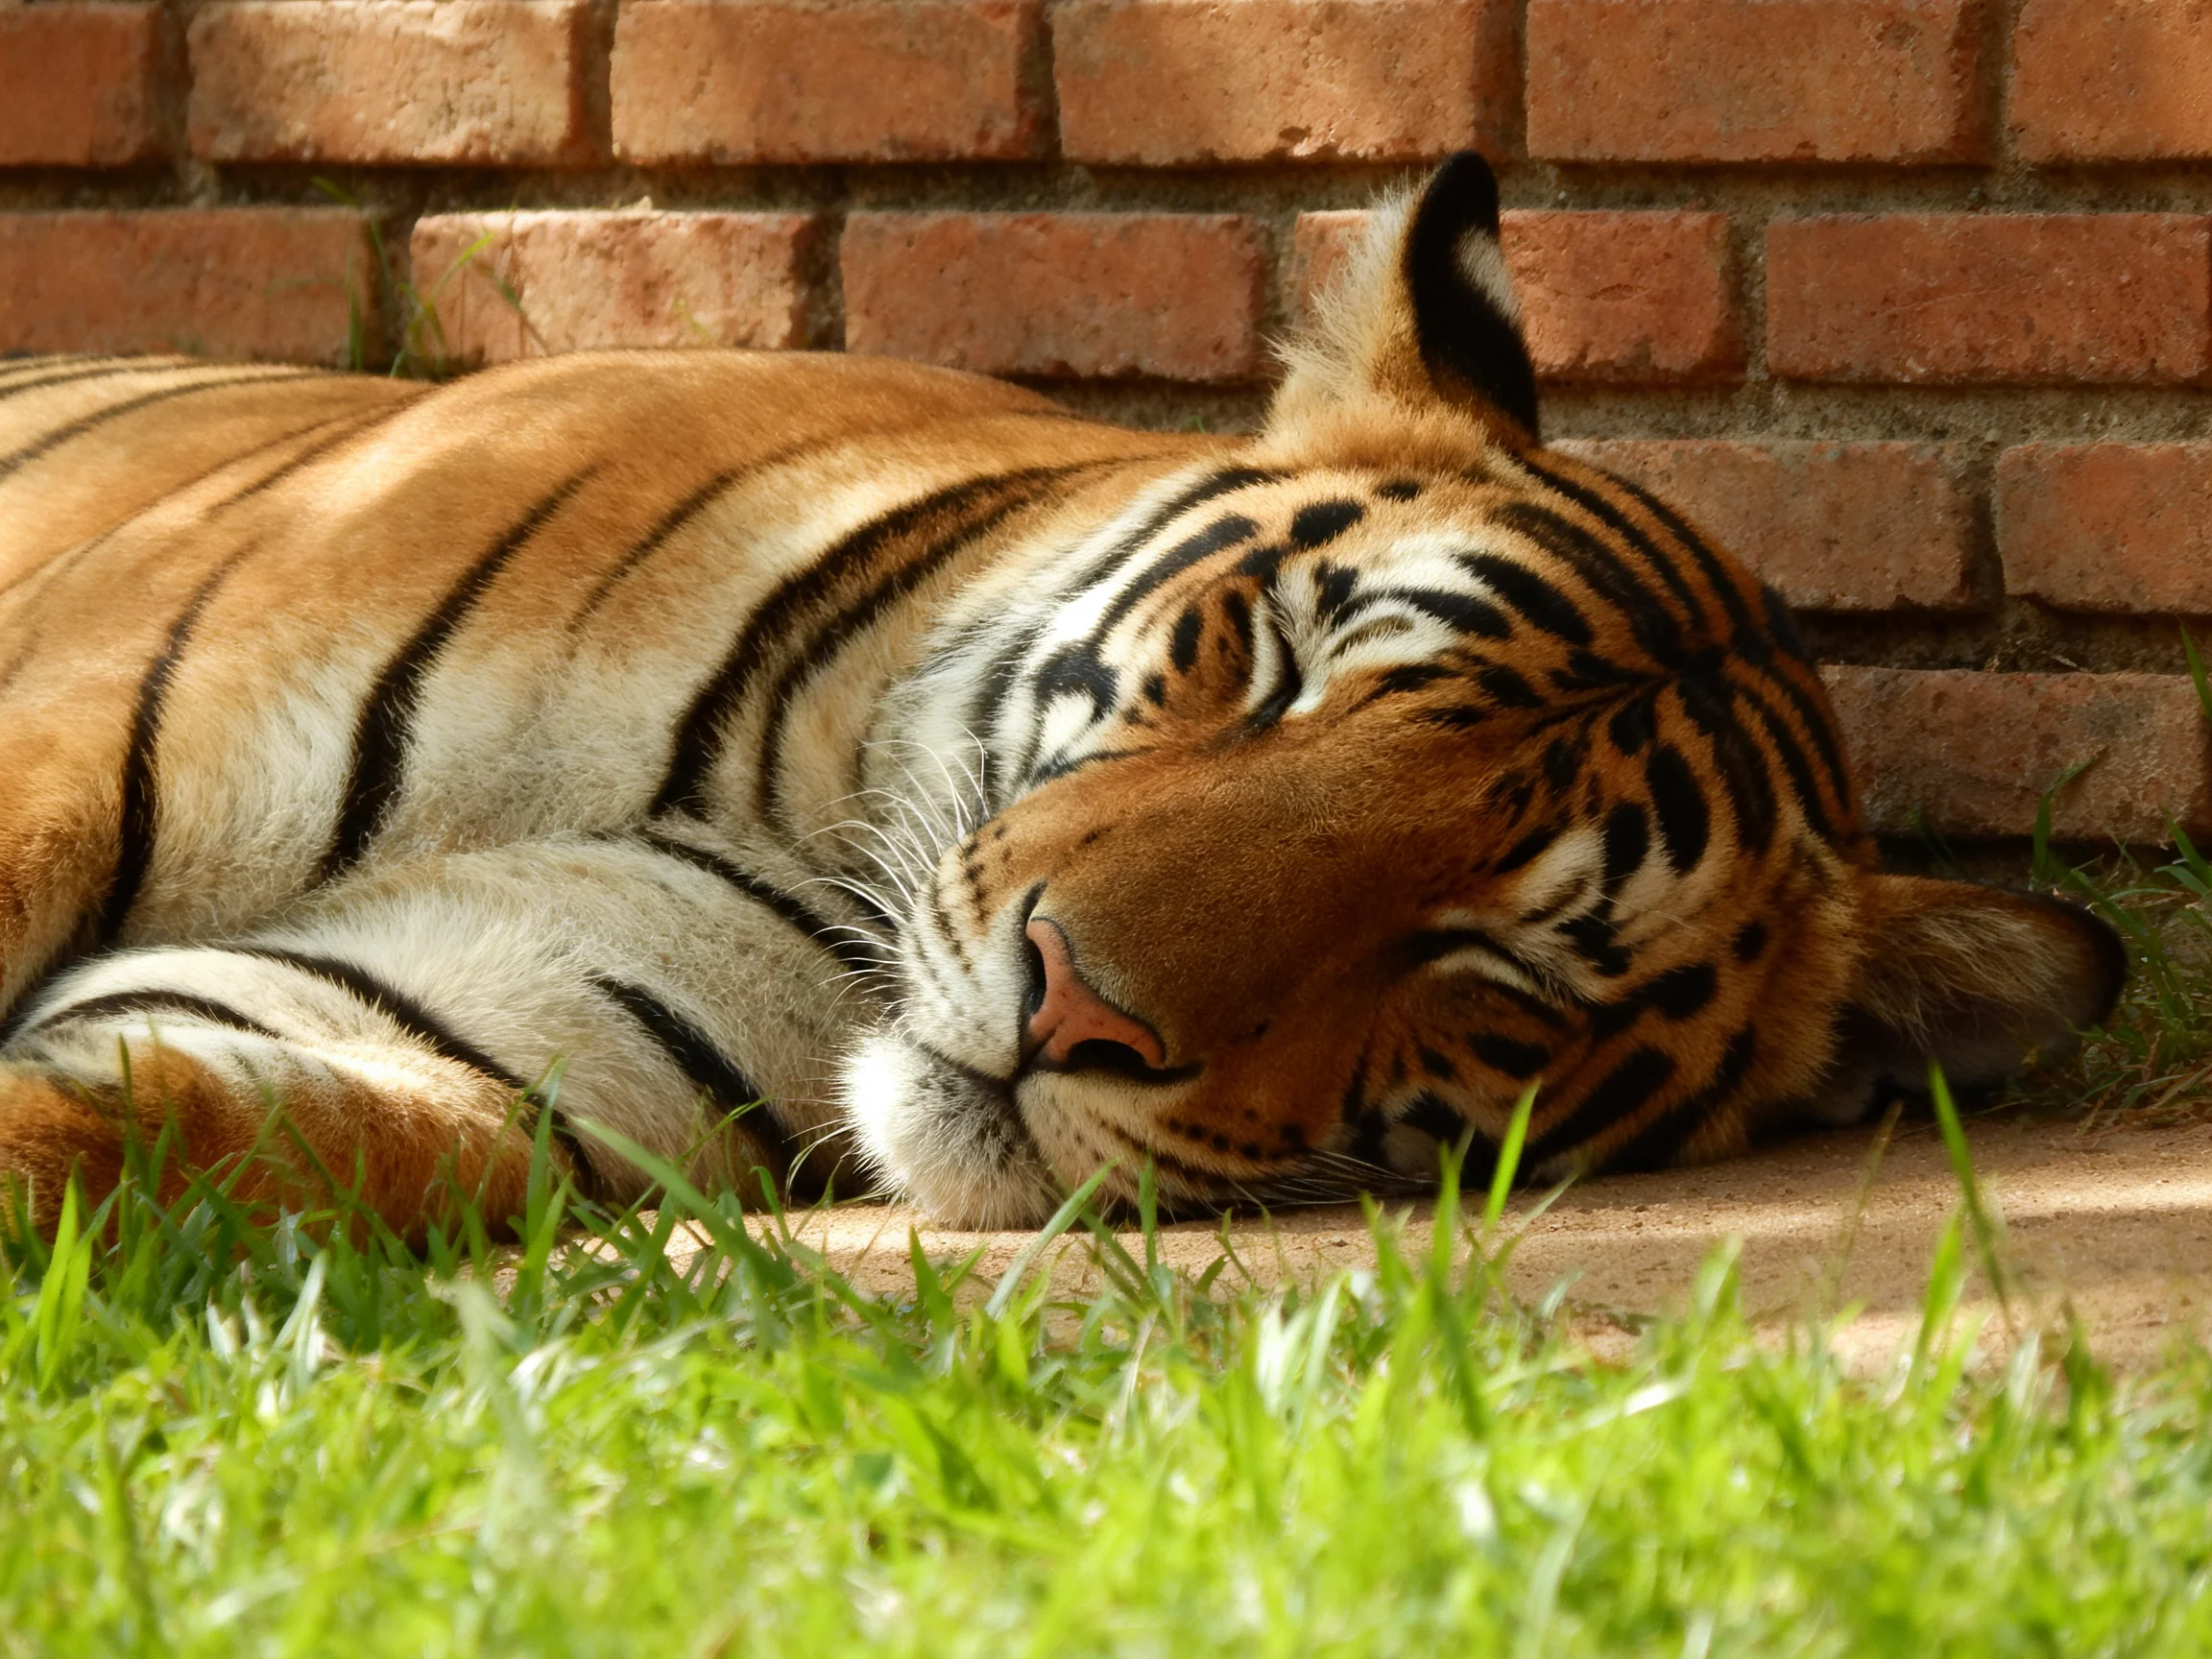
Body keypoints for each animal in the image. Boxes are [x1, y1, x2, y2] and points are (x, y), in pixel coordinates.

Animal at [0, 153, 2123, 1236]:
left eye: (1493, 973)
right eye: (1272, 660)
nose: (1065, 1007)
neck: (805, 818)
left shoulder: (482, 1021)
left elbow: (245, 1130)